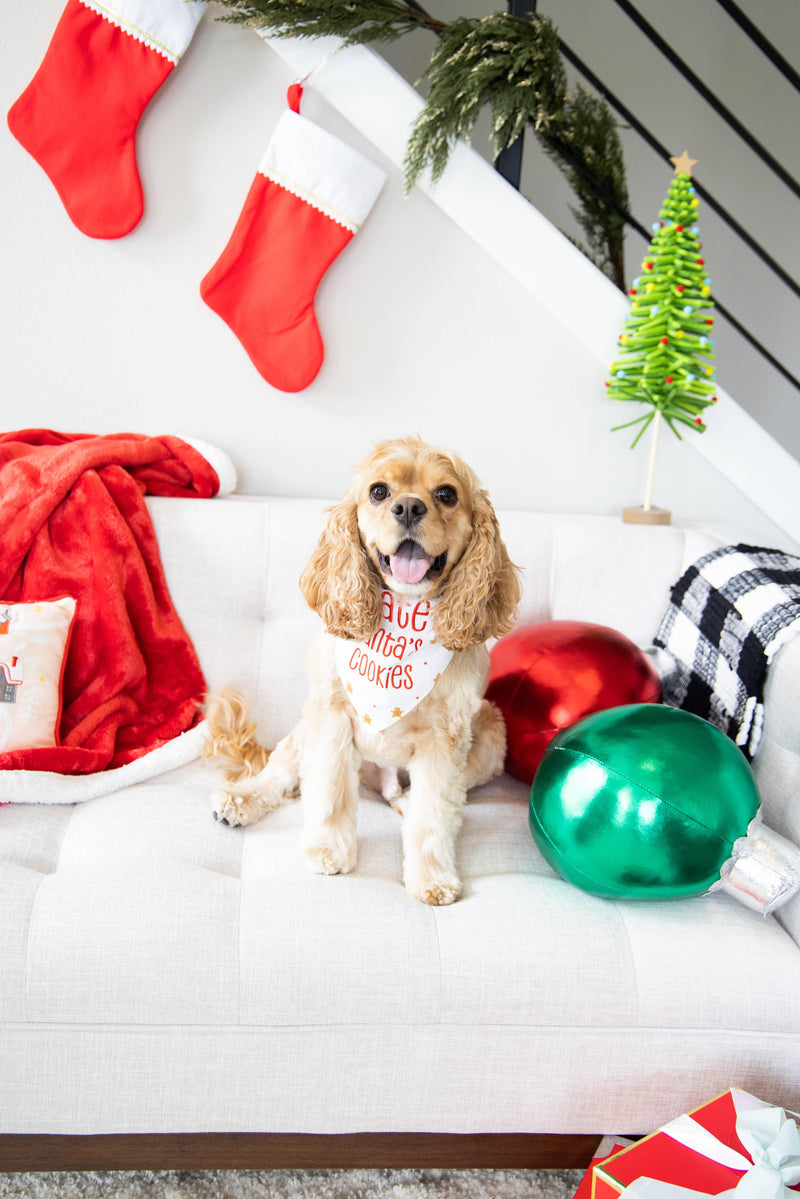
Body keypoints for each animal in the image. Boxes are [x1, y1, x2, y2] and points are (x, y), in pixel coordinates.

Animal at [203, 436, 522, 901]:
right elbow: (329, 789)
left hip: (492, 733)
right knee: (280, 773)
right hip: (306, 724)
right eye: (378, 491)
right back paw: (241, 801)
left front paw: (432, 879)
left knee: (415, 798)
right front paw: (326, 851)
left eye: (447, 494)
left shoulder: (446, 738)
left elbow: (434, 814)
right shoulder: (332, 713)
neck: (405, 613)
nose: (408, 507)